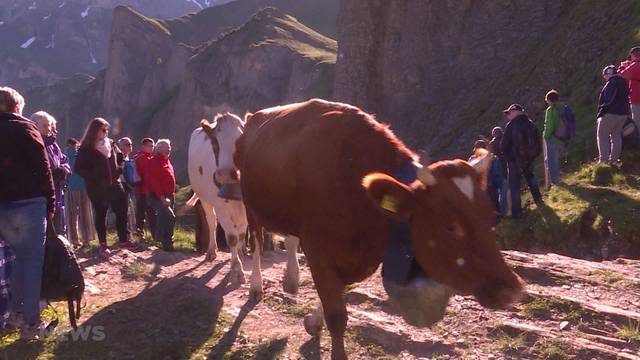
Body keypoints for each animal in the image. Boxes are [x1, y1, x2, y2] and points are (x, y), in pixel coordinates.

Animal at [232, 99, 524, 360]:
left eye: (491, 216)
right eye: (451, 226)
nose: (511, 288)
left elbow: (337, 293)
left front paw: (313, 321)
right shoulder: (318, 247)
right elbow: (336, 315)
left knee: (289, 238)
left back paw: (291, 280)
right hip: (250, 203)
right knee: (256, 242)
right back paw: (256, 286)